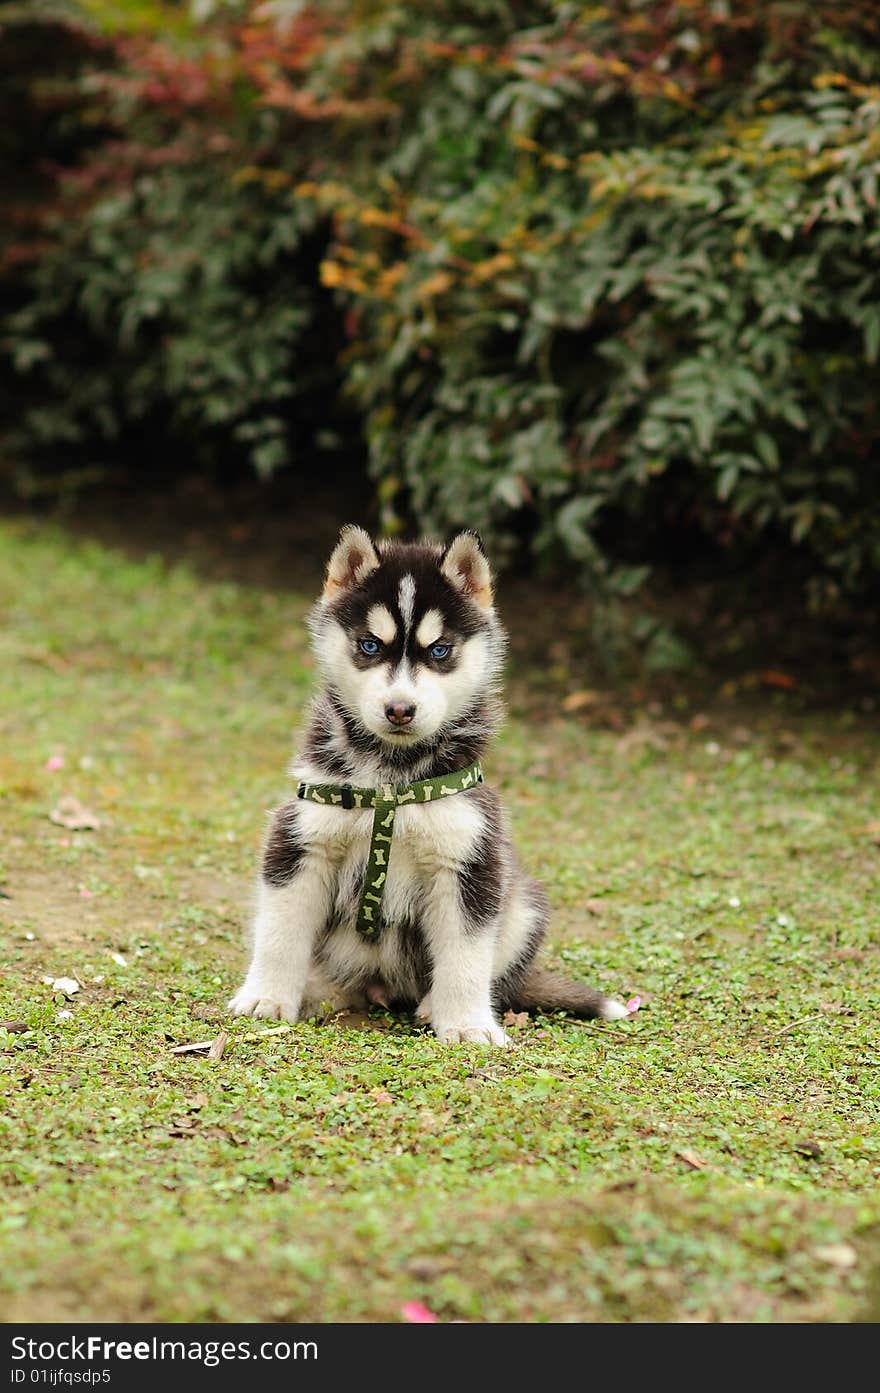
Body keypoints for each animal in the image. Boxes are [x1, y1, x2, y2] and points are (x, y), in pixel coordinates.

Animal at [226, 523, 626, 1047]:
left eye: (439, 651)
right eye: (370, 645)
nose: (400, 709)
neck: (392, 781)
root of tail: (383, 986)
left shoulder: (469, 860)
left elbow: (465, 958)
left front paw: (468, 1025)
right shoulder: (302, 839)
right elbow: (279, 934)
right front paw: (266, 998)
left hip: (522, 905)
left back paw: (437, 1006)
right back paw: (324, 990)